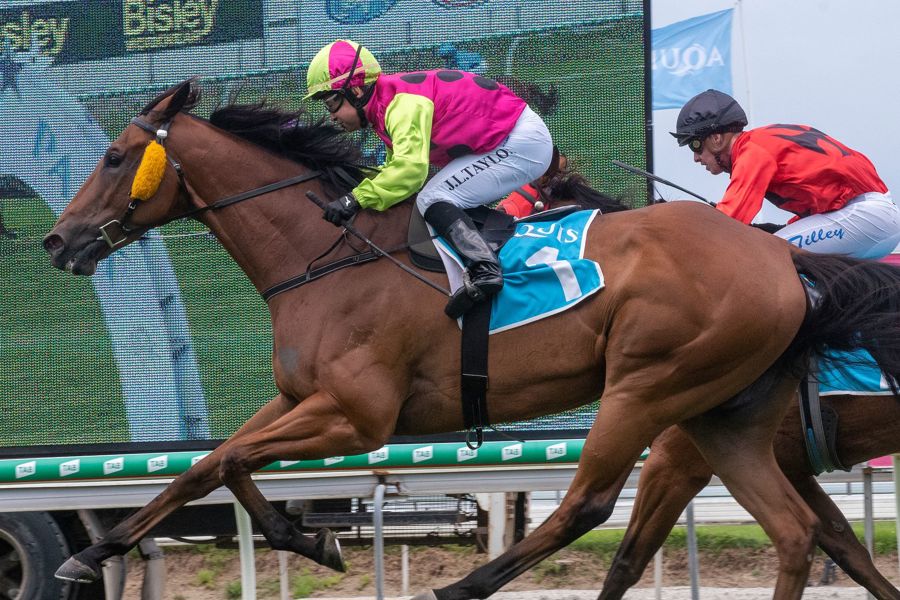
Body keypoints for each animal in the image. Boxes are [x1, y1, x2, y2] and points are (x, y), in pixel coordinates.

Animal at [42, 79, 900, 599]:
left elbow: (227, 461)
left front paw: (309, 539)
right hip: (721, 415)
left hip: (649, 386)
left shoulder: (356, 416)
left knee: (589, 506)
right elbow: (207, 465)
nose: (58, 240)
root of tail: (780, 260)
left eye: (114, 156)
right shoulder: (300, 399)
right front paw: (92, 552)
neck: (323, 257)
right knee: (797, 531)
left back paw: (462, 585)